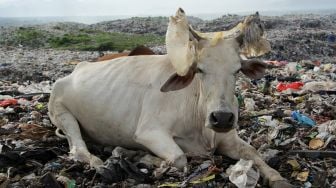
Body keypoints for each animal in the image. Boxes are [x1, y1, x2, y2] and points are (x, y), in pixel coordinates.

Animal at [48, 8, 292, 187]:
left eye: (237, 70)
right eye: (199, 69)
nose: (221, 118)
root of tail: (76, 69)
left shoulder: (227, 137)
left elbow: (253, 153)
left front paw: (277, 178)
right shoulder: (149, 131)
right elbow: (179, 158)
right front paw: (145, 158)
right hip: (61, 113)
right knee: (79, 149)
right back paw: (104, 159)